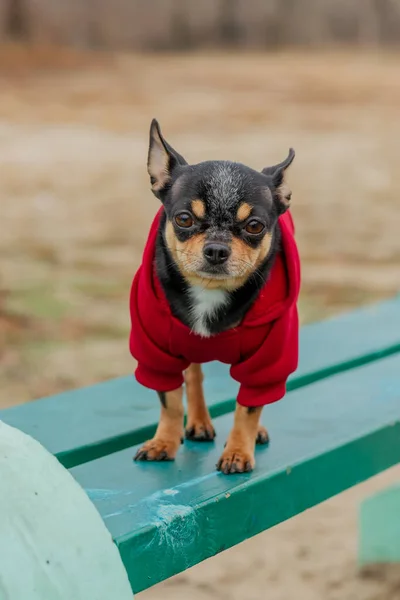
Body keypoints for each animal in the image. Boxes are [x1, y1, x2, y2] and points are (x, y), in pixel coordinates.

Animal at [129, 119, 300, 474]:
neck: (209, 291)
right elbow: (170, 399)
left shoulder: (266, 362)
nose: (217, 249)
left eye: (254, 226)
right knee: (193, 374)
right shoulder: (156, 353)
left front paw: (238, 450)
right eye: (183, 219)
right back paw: (198, 423)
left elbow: (248, 408)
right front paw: (163, 442)